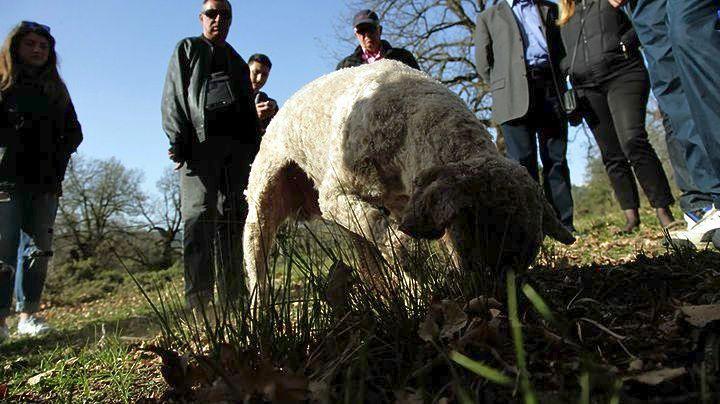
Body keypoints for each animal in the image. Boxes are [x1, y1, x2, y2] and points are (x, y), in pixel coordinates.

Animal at [242, 60, 572, 294]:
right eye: (482, 233)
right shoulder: (335, 195)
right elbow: (385, 231)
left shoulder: (408, 199)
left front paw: (417, 290)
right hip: (263, 196)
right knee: (256, 262)